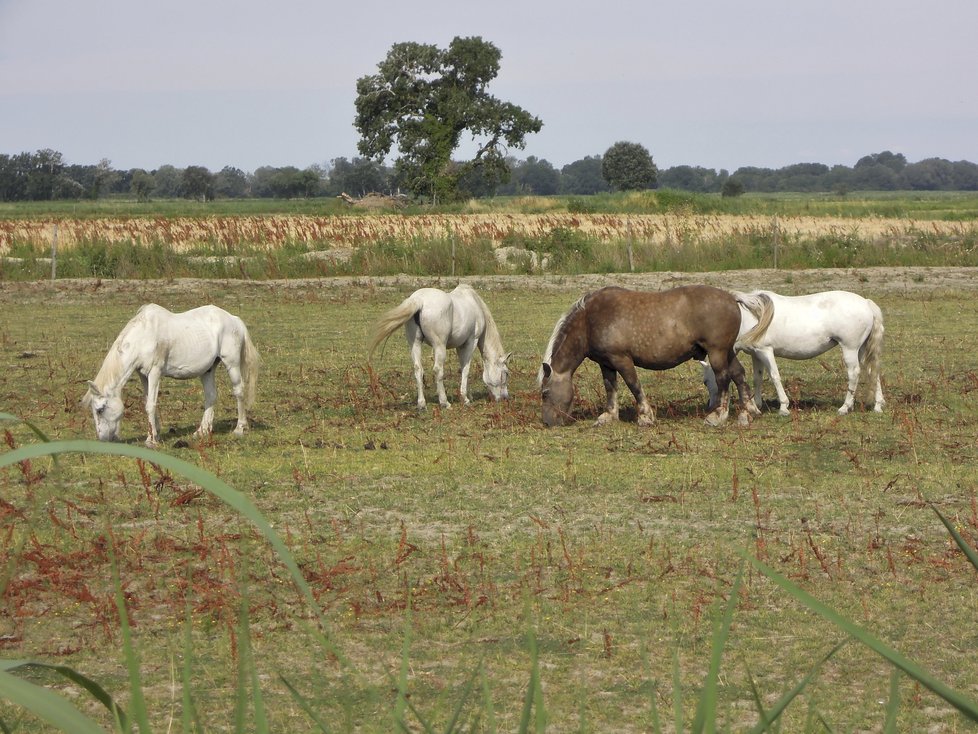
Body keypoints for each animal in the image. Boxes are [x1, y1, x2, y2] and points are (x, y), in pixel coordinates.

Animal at [83, 304, 260, 446]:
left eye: (100, 409)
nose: (103, 439)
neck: (144, 336)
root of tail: (234, 319)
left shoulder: (155, 372)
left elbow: (151, 404)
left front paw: (151, 440)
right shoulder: (143, 375)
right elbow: (148, 401)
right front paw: (156, 434)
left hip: (232, 364)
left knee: (239, 391)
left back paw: (240, 428)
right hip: (208, 370)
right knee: (210, 396)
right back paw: (201, 431)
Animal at [368, 284, 510, 412]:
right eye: (506, 373)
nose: (505, 398)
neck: (474, 302)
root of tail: (419, 300)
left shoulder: (459, 346)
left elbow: (462, 367)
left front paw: (468, 395)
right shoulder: (470, 342)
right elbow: (466, 369)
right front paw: (465, 398)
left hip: (415, 343)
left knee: (418, 369)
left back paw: (422, 405)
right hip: (439, 346)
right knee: (438, 370)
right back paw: (444, 402)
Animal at [536, 284, 768, 428]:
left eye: (545, 393)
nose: (547, 422)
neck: (590, 320)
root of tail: (731, 297)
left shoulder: (622, 359)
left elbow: (633, 385)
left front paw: (645, 416)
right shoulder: (606, 363)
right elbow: (610, 387)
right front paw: (608, 416)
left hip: (717, 352)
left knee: (724, 379)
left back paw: (718, 416)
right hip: (727, 351)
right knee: (738, 374)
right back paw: (748, 412)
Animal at [700, 294, 884, 420]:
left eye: (707, 381)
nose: (710, 407)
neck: (751, 318)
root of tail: (866, 303)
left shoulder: (766, 351)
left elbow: (775, 377)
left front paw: (783, 407)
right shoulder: (756, 354)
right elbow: (757, 379)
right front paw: (758, 404)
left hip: (849, 349)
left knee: (854, 374)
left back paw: (845, 407)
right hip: (861, 350)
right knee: (872, 371)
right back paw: (878, 405)